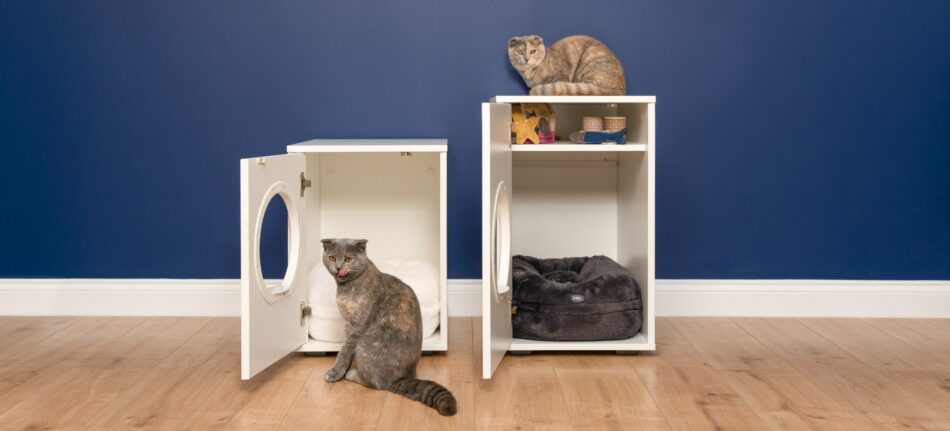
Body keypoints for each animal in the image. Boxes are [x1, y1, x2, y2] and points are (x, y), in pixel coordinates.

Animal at [320, 238, 458, 416]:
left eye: (348, 259)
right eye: (331, 257)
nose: (338, 267)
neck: (346, 287)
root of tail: (403, 378)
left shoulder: (357, 327)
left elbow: (344, 351)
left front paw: (335, 373)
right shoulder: (348, 324)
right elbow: (346, 352)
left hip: (364, 345)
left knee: (377, 383)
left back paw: (353, 374)